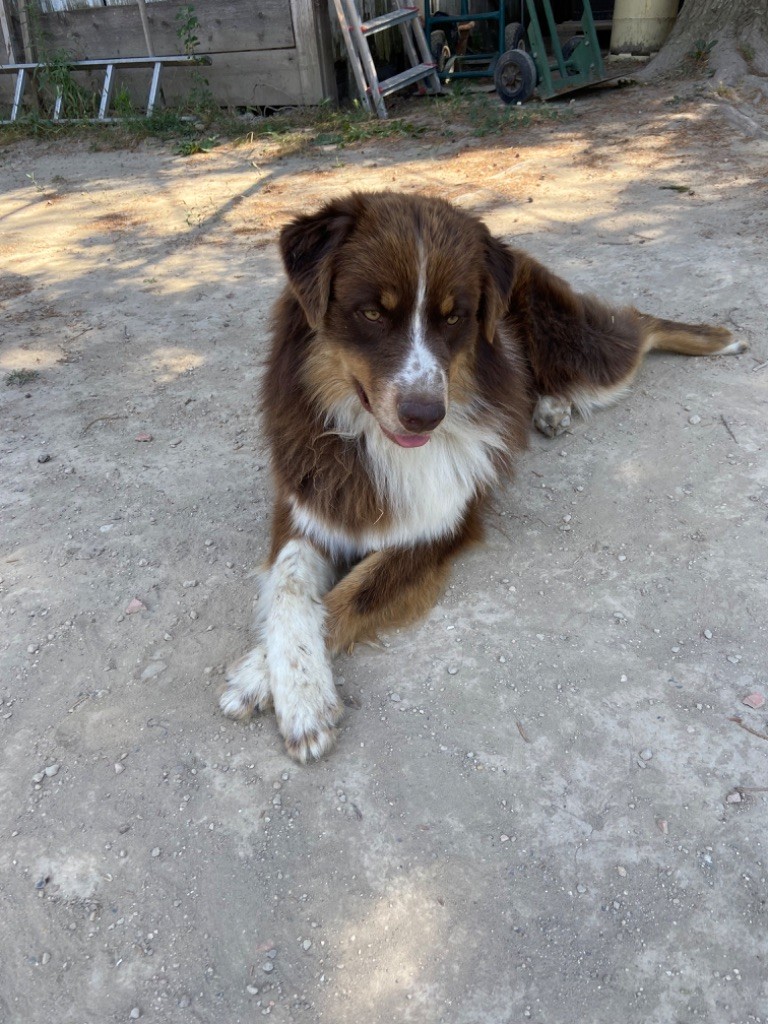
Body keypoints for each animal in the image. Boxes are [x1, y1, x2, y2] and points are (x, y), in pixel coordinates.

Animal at [219, 190, 749, 761]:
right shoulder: (309, 502)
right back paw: (552, 408)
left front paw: (270, 683)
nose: (426, 415)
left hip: (576, 349)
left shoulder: (440, 525)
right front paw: (286, 681)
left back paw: (720, 338)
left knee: (637, 327)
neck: (373, 441)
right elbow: (290, 590)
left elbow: (351, 595)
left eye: (455, 318)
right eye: (372, 312)